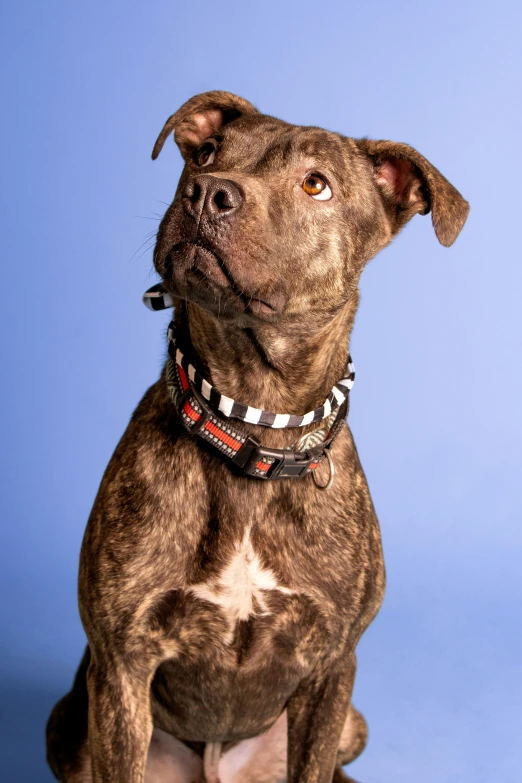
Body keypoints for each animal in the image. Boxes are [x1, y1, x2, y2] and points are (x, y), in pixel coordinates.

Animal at [45, 89, 468, 780]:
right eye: (208, 154)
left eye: (316, 183)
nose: (208, 192)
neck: (251, 419)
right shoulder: (121, 665)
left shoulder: (331, 669)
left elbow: (314, 760)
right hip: (70, 721)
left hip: (352, 723)